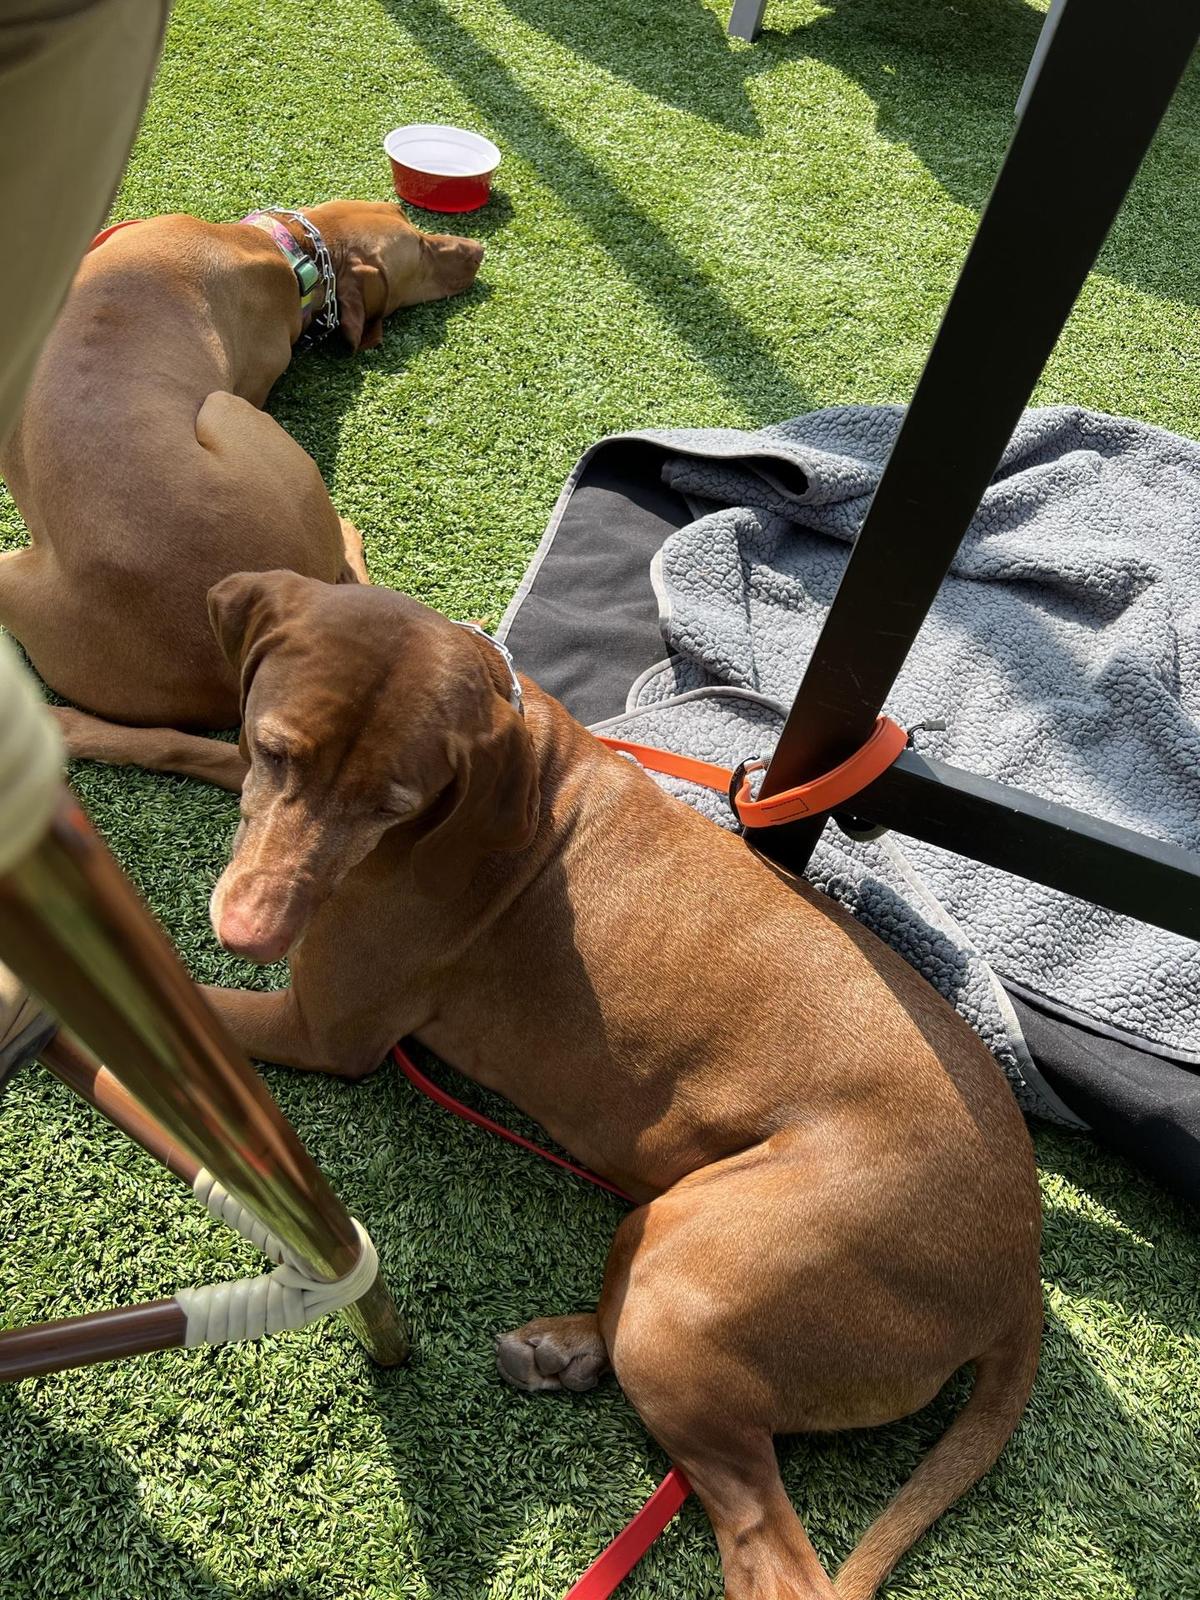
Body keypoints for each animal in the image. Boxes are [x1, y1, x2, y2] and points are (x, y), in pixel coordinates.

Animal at [72, 569, 1043, 1593]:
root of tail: (1020, 1269)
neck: (498, 784)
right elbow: (185, 742)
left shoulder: (323, 1027)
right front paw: (70, 731)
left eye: (391, 805)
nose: (250, 933)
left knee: (770, 1554)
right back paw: (566, 1347)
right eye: (272, 750)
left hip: (696, 1267)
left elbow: (168, 1004)